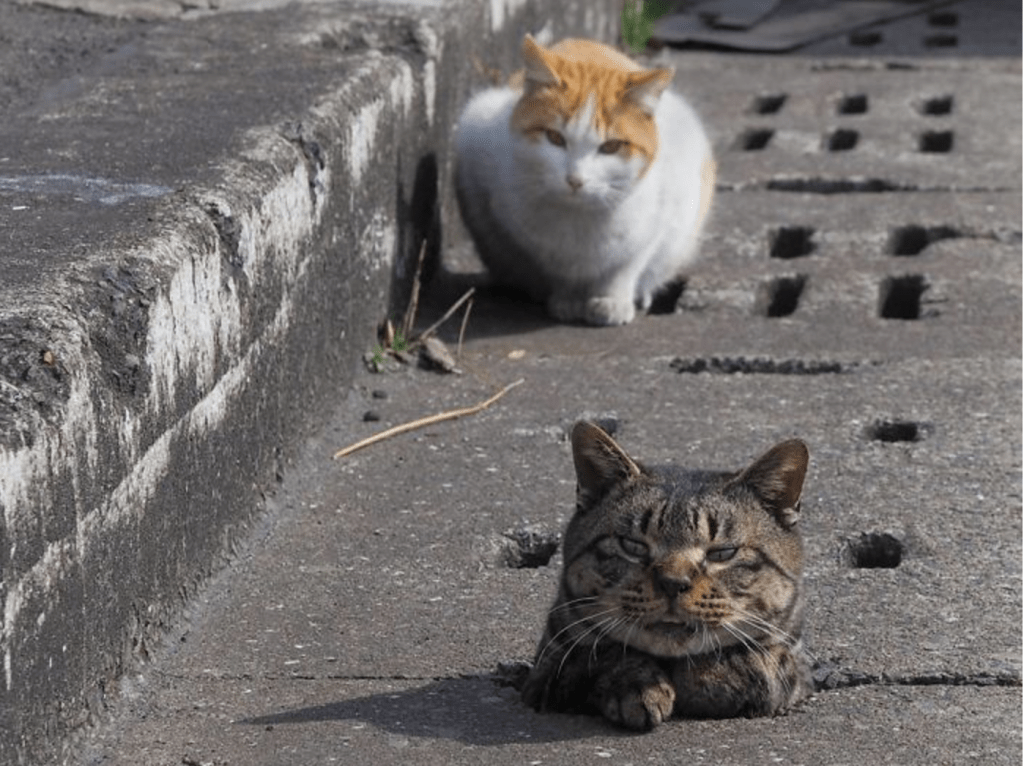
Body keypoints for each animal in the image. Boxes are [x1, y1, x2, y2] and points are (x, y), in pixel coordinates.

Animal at [452, 35, 716, 325]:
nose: (575, 179)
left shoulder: (660, 217)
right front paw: (567, 300)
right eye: (554, 138)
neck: (579, 218)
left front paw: (613, 301)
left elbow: (626, 267)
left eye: (611, 147)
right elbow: (556, 270)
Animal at [524, 423, 811, 729]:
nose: (673, 583)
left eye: (723, 553)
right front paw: (636, 684)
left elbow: (764, 665)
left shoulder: (795, 665)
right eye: (633, 545)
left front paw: (715, 674)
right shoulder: (548, 670)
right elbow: (604, 654)